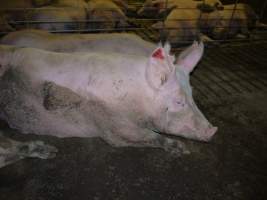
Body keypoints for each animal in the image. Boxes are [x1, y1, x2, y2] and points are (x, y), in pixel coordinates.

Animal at [0, 40, 218, 166]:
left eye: (192, 94)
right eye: (179, 101)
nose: (213, 130)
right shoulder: (111, 123)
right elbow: (145, 136)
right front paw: (182, 149)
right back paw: (51, 152)